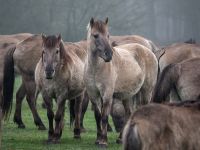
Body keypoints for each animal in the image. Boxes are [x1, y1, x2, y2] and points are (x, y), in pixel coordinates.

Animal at [84, 17, 158, 146]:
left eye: (108, 35)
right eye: (95, 35)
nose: (109, 55)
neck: (95, 68)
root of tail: (149, 51)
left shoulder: (107, 95)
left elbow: (104, 116)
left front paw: (103, 141)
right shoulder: (93, 95)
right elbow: (98, 116)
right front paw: (98, 139)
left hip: (146, 92)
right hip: (128, 95)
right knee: (129, 113)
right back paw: (120, 138)